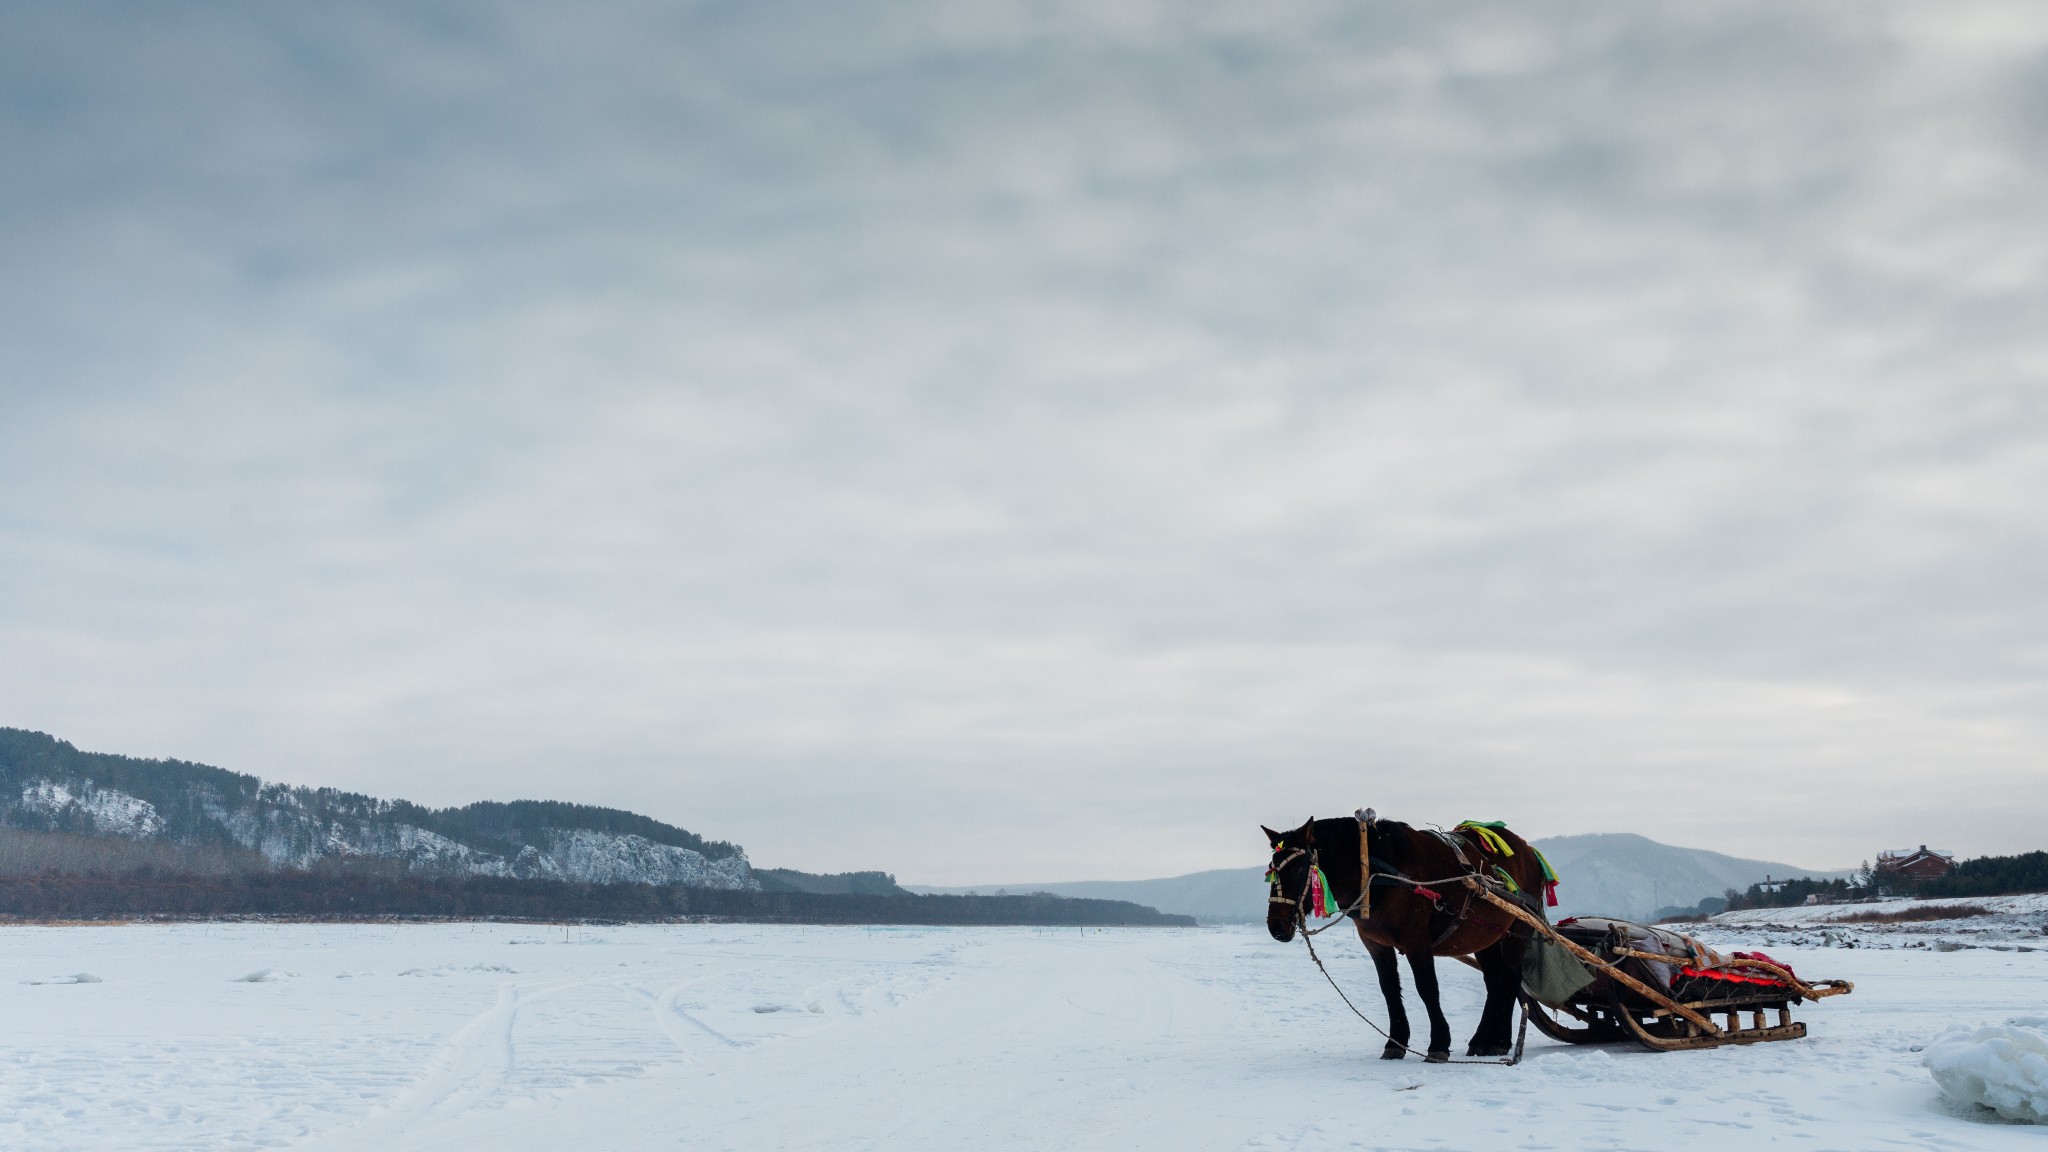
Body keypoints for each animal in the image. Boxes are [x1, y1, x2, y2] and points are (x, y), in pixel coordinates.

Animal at [1261, 807, 1548, 1057]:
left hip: (1518, 926)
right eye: (1272, 870)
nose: (1276, 926)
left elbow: (1427, 987)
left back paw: (1499, 1041)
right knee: (1494, 982)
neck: (1376, 871)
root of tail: (1527, 849)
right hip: (1485, 935)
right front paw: (1395, 1042)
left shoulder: (1416, 940)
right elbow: (1389, 988)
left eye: (1297, 868)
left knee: (1510, 977)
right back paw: (1483, 1040)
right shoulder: (1375, 942)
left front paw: (1439, 1043)